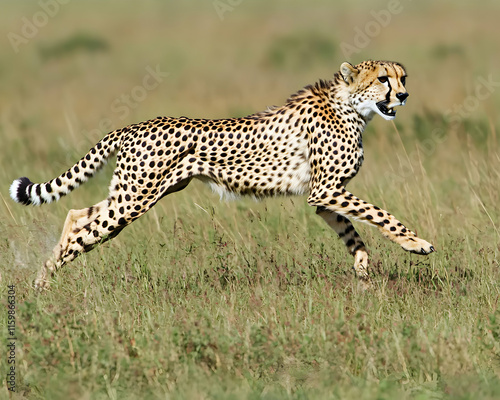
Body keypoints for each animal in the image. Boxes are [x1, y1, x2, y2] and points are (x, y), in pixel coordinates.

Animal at [9, 59, 436, 290]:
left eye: (403, 77)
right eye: (383, 79)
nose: (403, 96)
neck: (350, 106)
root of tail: (134, 125)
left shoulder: (324, 196)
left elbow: (352, 231)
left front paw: (362, 268)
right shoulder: (326, 190)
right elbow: (381, 214)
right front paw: (416, 243)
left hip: (134, 193)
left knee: (77, 215)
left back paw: (43, 277)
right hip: (135, 199)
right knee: (84, 230)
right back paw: (44, 280)